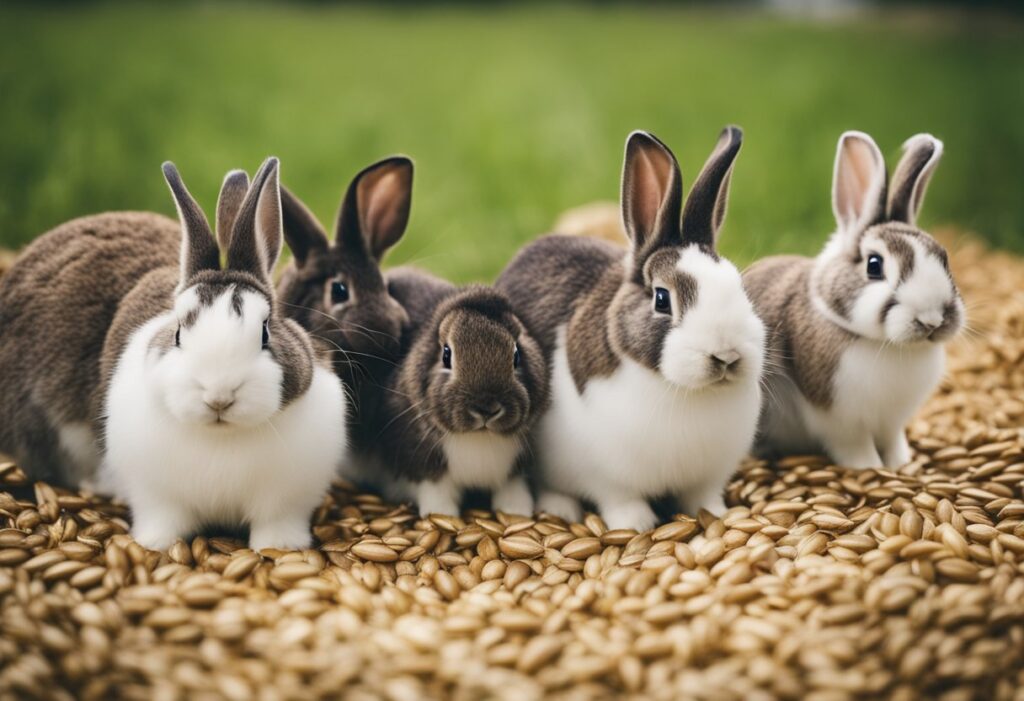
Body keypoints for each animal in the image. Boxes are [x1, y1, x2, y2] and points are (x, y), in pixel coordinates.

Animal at [95, 157, 348, 551]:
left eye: (265, 332)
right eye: (178, 333)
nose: (219, 397)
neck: (222, 437)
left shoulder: (285, 500)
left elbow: (276, 524)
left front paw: (281, 548)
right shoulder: (157, 496)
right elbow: (163, 519)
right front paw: (154, 544)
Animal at [376, 267, 549, 517]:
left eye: (516, 355)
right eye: (446, 354)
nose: (487, 409)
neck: (478, 436)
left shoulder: (515, 470)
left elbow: (513, 487)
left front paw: (516, 511)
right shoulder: (425, 469)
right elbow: (436, 492)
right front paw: (441, 515)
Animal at [496, 128, 765, 531]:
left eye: (739, 287)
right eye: (662, 299)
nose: (726, 355)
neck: (684, 390)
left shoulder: (707, 477)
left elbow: (703, 498)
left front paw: (720, 516)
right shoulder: (607, 477)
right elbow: (620, 499)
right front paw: (638, 525)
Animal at [743, 131, 963, 469]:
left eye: (944, 258)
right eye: (874, 265)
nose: (932, 320)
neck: (888, 345)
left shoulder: (891, 423)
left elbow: (892, 440)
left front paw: (901, 463)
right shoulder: (839, 422)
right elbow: (856, 447)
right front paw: (870, 468)